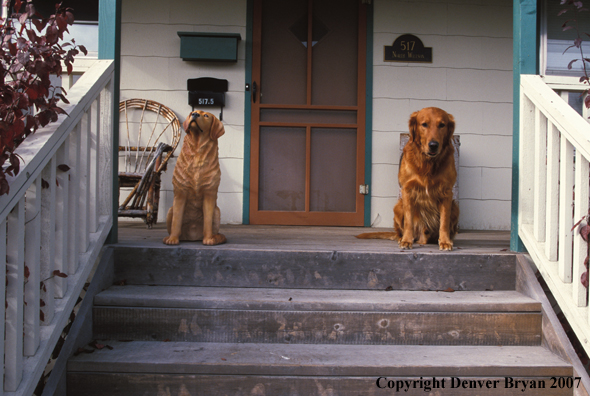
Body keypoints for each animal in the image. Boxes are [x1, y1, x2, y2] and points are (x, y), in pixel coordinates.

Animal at [164, 108, 229, 244]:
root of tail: (192, 237)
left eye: (206, 116)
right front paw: (172, 239)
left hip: (217, 211)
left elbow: (208, 221)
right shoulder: (180, 193)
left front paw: (208, 239)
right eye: (192, 112)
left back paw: (215, 237)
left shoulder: (209, 193)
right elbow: (176, 221)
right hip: (170, 210)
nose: (194, 114)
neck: (198, 150)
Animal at [358, 107, 460, 251]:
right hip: (398, 206)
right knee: (399, 230)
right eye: (424, 124)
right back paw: (401, 238)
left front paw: (445, 242)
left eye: (442, 125)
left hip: (455, 207)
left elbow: (444, 221)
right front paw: (406, 240)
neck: (427, 163)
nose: (433, 145)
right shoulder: (407, 190)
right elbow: (408, 221)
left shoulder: (446, 192)